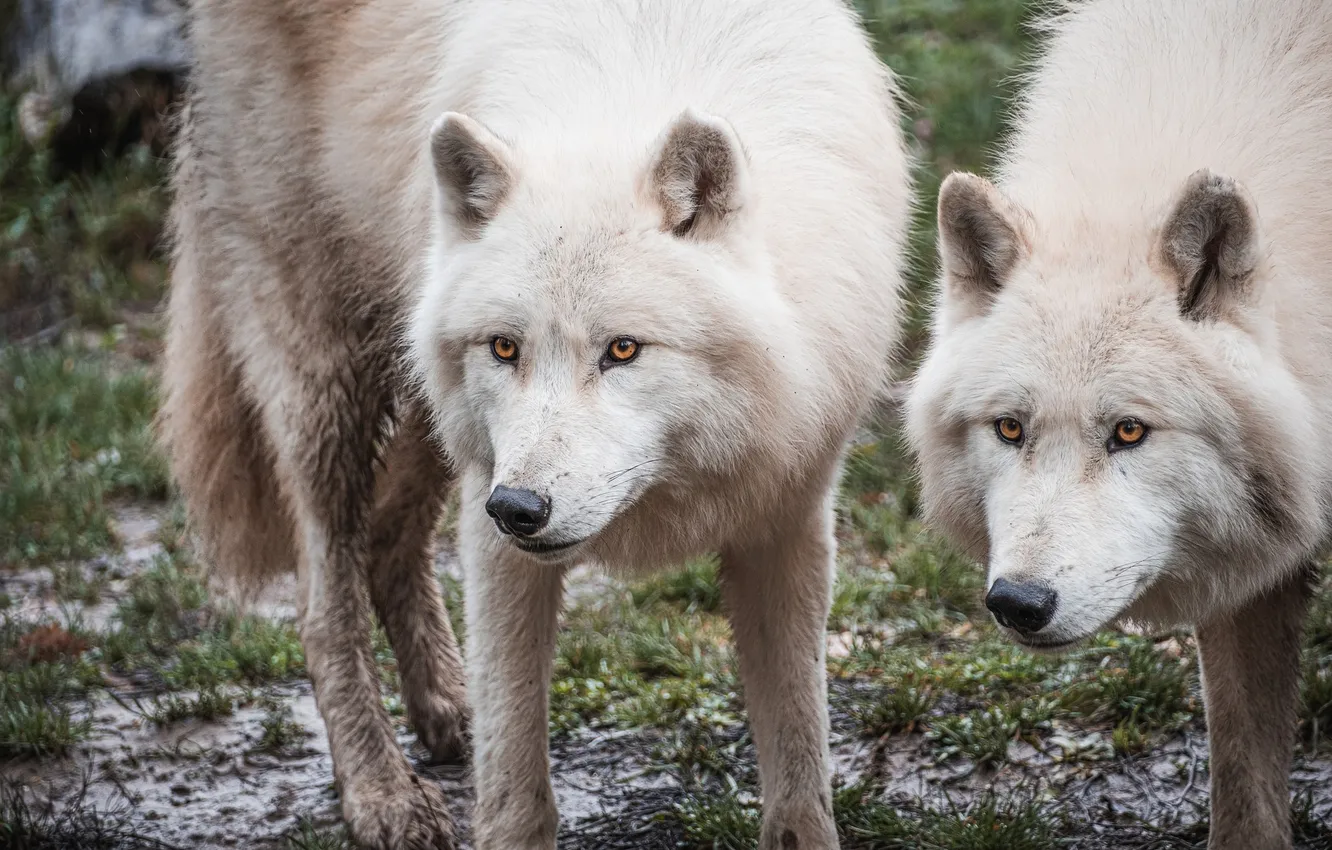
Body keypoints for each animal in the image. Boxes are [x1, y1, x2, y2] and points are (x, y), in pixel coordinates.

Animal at [159, 0, 911, 847]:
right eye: (505, 346)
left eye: (622, 349)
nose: (518, 509)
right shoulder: (494, 529)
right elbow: (516, 765)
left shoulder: (787, 511)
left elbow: (797, 743)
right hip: (333, 392)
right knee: (320, 608)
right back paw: (382, 793)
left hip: (432, 415)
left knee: (387, 541)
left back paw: (447, 710)